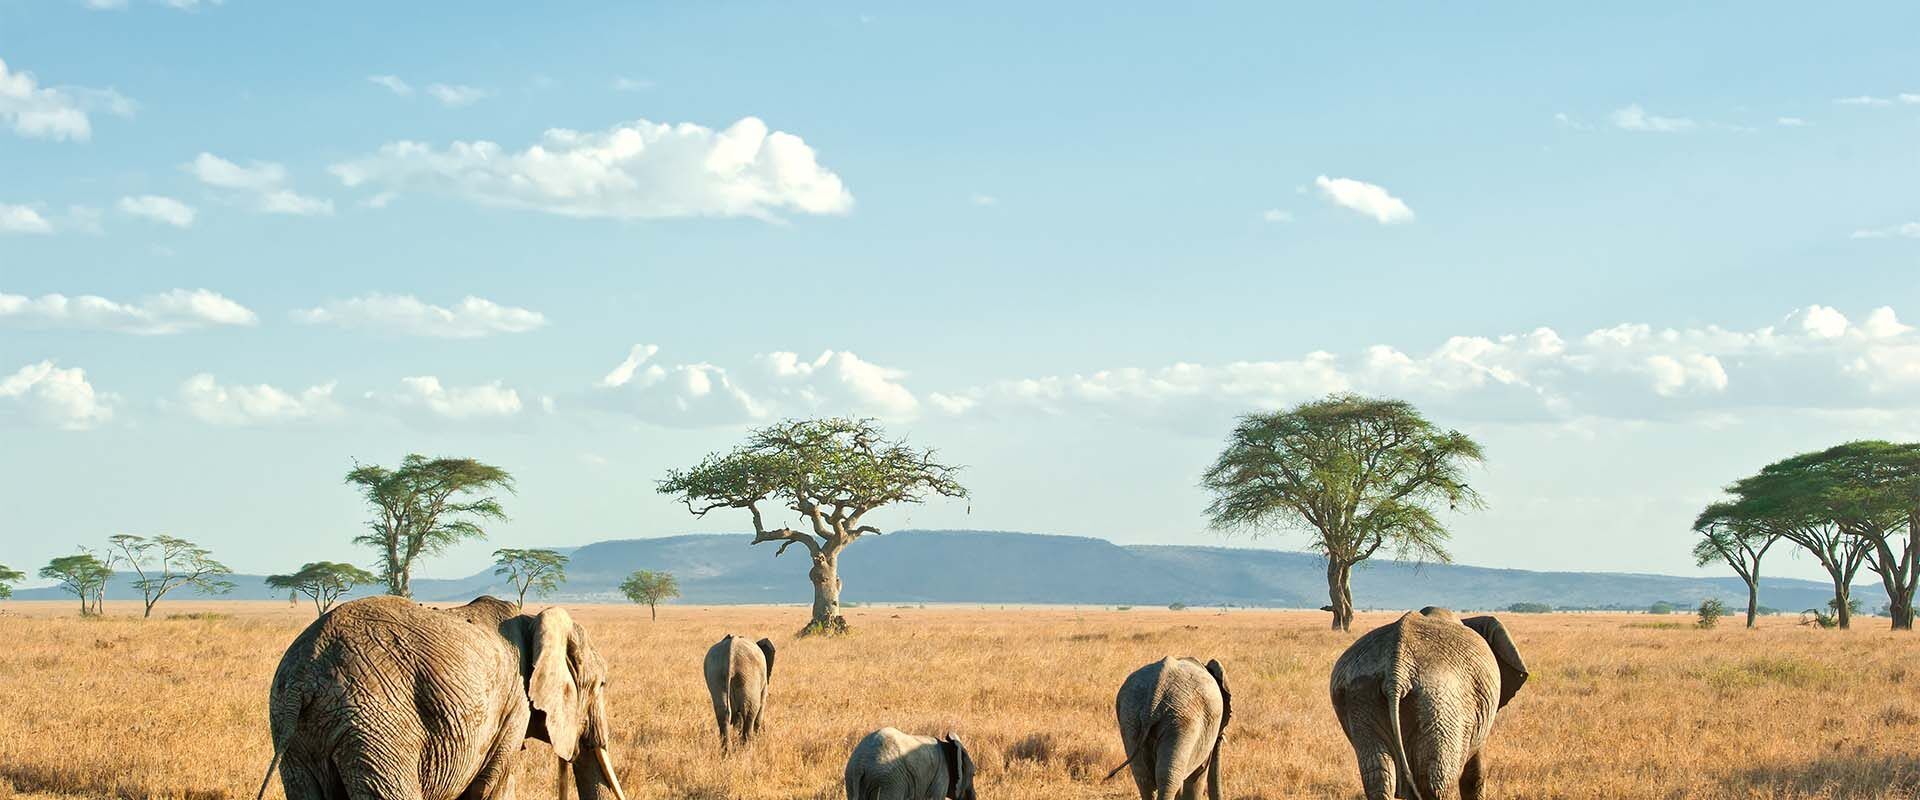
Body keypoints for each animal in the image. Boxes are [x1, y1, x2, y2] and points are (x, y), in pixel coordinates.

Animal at [255, 594, 625, 798]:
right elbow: (491, 787)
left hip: (294, 730)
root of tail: (305, 676)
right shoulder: (513, 706)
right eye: (602, 684)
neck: (534, 620)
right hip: (378, 724)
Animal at [848, 721, 983, 798]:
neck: (949, 744)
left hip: (853, 779)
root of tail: (860, 763)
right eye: (974, 775)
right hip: (888, 780)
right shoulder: (941, 777)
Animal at [1105, 656, 1236, 798]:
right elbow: (1198, 775)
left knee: (1143, 778)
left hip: (1130, 716)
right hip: (1182, 720)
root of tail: (1155, 695)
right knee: (1168, 777)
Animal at [1336, 606, 1528, 798]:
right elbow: (1474, 774)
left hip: (1363, 694)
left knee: (1378, 774)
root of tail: (1396, 672)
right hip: (1440, 702)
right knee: (1436, 781)